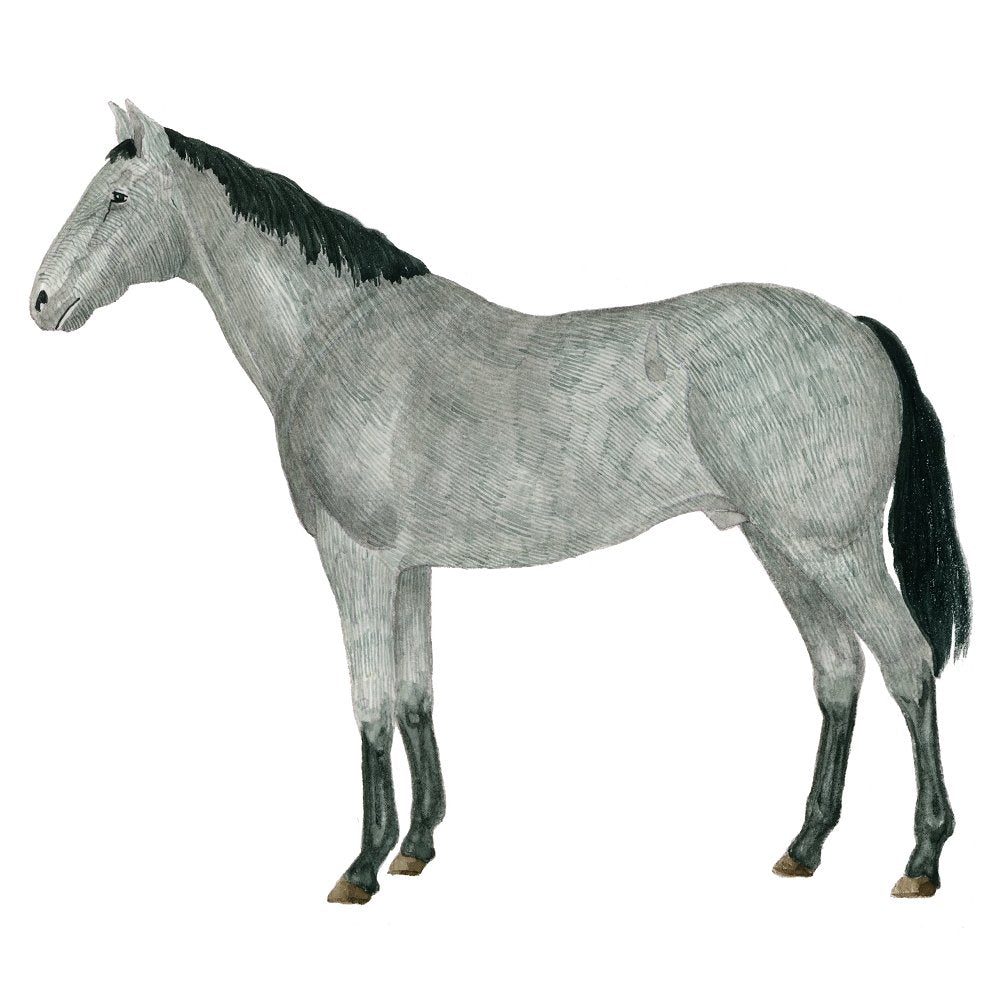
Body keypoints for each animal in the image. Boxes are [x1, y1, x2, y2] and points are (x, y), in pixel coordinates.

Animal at [30, 101, 971, 903]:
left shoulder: (355, 559)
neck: (336, 335)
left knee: (907, 663)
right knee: (838, 673)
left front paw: (362, 866)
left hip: (833, 548)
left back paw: (921, 859)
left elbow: (369, 704)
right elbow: (415, 694)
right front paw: (415, 848)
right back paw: (804, 848)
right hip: (780, 547)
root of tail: (853, 327)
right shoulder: (410, 569)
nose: (40, 300)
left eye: (116, 197)